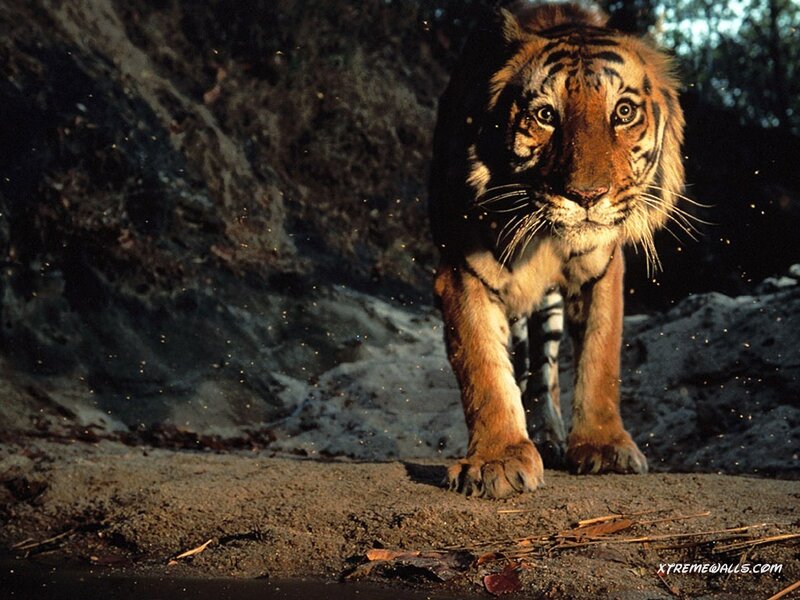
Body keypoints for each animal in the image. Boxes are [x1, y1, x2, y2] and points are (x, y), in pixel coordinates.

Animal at [429, 2, 685, 498]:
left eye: (623, 112)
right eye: (546, 115)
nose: (587, 195)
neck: (546, 242)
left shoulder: (602, 272)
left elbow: (600, 358)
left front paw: (604, 447)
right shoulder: (463, 272)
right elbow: (484, 368)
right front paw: (496, 461)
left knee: (543, 372)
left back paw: (549, 435)